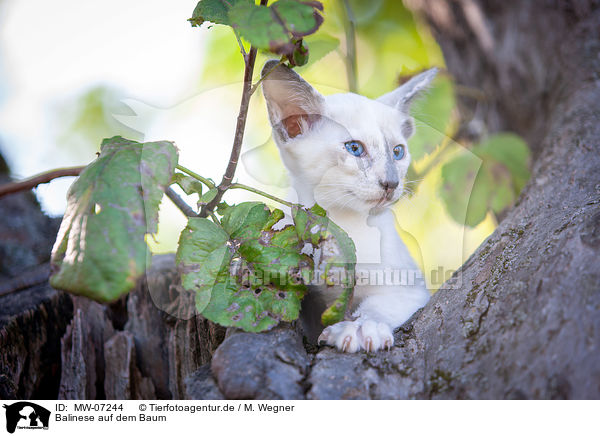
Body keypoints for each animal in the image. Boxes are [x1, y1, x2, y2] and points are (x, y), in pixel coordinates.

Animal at [262, 61, 436, 352]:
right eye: (354, 148)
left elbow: (377, 307)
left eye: (398, 152)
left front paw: (361, 329)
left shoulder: (410, 290)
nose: (391, 182)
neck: (342, 225)